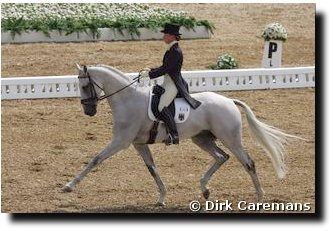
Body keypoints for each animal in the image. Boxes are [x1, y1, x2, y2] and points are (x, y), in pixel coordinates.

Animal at [63, 63, 298, 206]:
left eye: (84, 85)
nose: (89, 111)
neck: (127, 99)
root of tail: (229, 101)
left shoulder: (121, 141)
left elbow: (95, 159)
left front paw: (69, 186)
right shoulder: (139, 144)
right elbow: (152, 169)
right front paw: (162, 197)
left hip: (230, 138)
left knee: (248, 162)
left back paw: (259, 197)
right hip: (201, 138)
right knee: (221, 157)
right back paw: (205, 189)